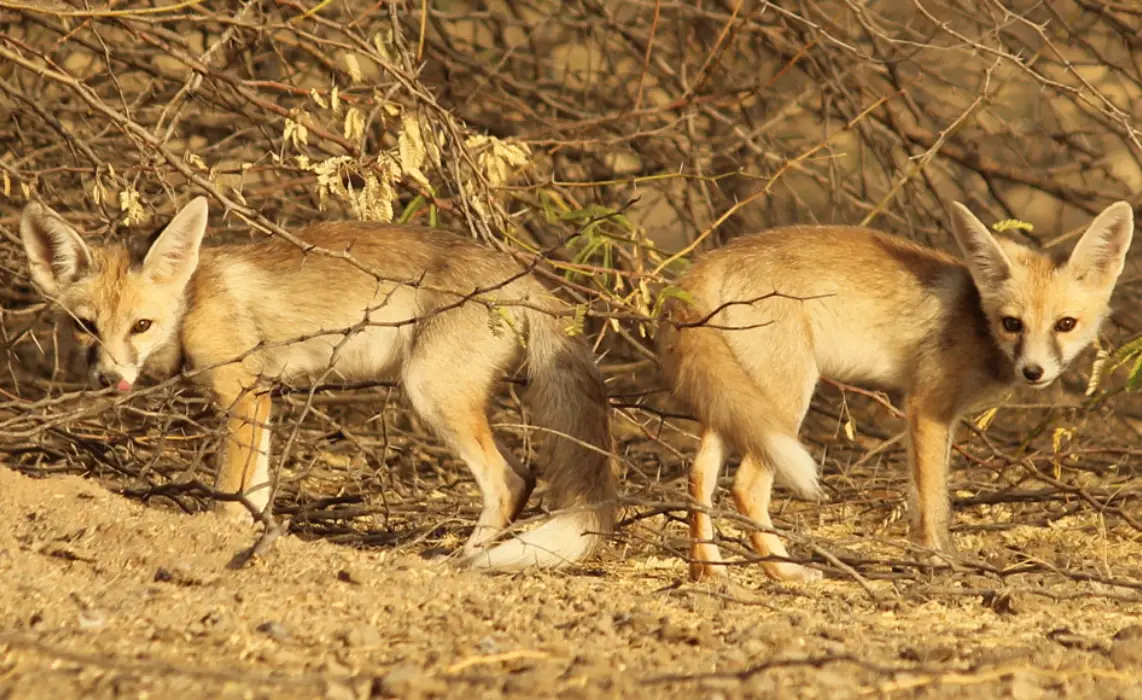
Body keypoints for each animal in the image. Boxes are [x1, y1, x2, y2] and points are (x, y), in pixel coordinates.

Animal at [20, 195, 616, 568]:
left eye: (141, 326)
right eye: (85, 326)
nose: (108, 378)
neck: (194, 301)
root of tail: (524, 276)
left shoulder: (242, 394)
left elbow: (230, 493)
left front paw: (221, 537)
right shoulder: (261, 398)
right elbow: (256, 490)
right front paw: (258, 538)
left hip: (429, 393)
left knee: (507, 480)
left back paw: (463, 558)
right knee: (525, 476)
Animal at [662, 200, 1132, 577]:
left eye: (1065, 324)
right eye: (1012, 324)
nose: (1034, 371)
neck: (976, 322)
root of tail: (709, 260)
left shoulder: (936, 415)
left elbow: (925, 499)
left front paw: (930, 556)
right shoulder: (927, 407)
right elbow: (933, 502)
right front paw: (939, 561)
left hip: (735, 403)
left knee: (699, 475)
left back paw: (708, 571)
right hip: (785, 401)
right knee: (745, 487)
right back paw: (785, 572)